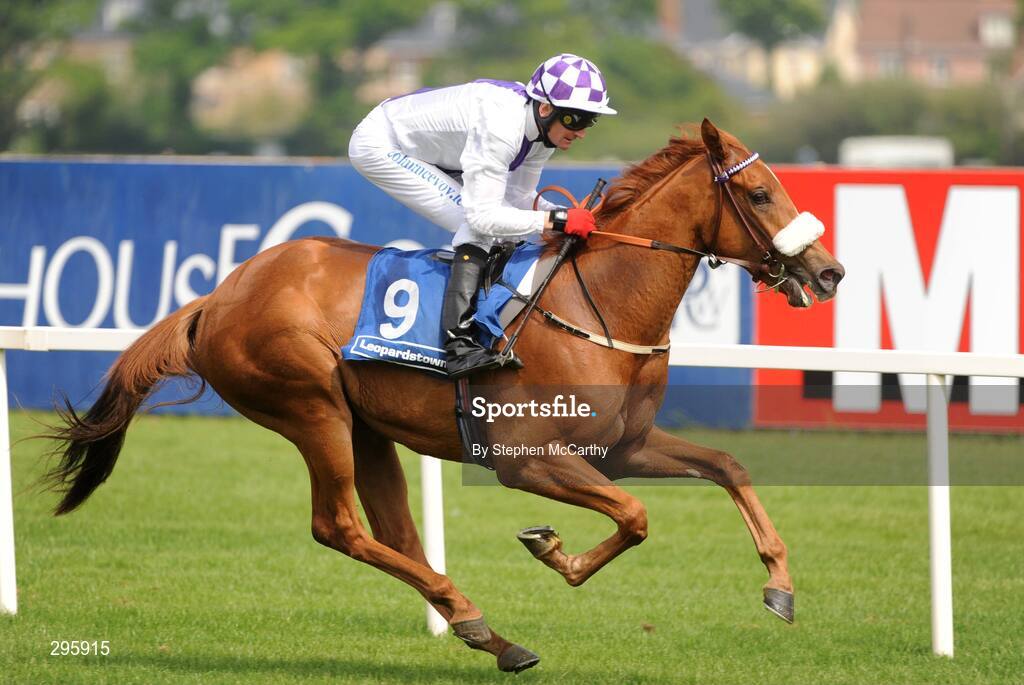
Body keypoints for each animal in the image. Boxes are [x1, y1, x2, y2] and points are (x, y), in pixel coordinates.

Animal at [43, 119, 844, 673]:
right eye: (761, 192)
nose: (829, 271)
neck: (602, 303)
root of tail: (216, 296)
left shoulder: (623, 446)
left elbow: (727, 466)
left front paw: (780, 586)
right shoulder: (527, 459)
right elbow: (636, 516)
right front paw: (553, 550)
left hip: (364, 424)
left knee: (395, 533)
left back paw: (486, 631)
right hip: (311, 407)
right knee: (339, 526)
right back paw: (477, 618)